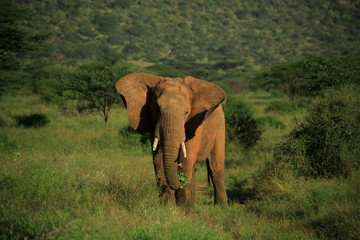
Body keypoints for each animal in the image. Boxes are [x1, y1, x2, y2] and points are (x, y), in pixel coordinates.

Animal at [115, 72, 228, 206]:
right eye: (156, 109)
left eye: (186, 112)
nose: (178, 166)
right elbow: (158, 159)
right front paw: (168, 206)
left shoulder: (195, 123)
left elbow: (187, 157)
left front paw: (181, 207)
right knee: (195, 170)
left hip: (220, 125)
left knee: (215, 168)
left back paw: (220, 207)